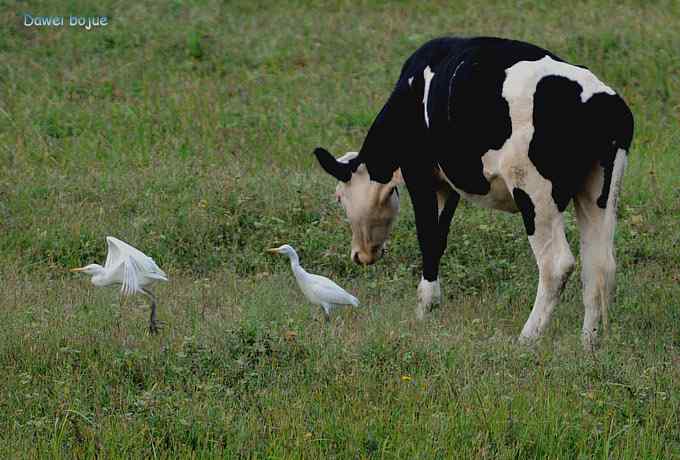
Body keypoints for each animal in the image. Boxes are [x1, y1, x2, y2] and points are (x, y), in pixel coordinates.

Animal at [314, 36, 632, 346]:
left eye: (339, 197)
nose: (359, 255)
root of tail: (600, 100)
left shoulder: (419, 172)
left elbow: (428, 237)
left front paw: (423, 310)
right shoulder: (448, 184)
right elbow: (440, 238)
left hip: (534, 192)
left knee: (557, 264)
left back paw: (527, 337)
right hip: (600, 194)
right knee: (600, 265)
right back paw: (588, 343)